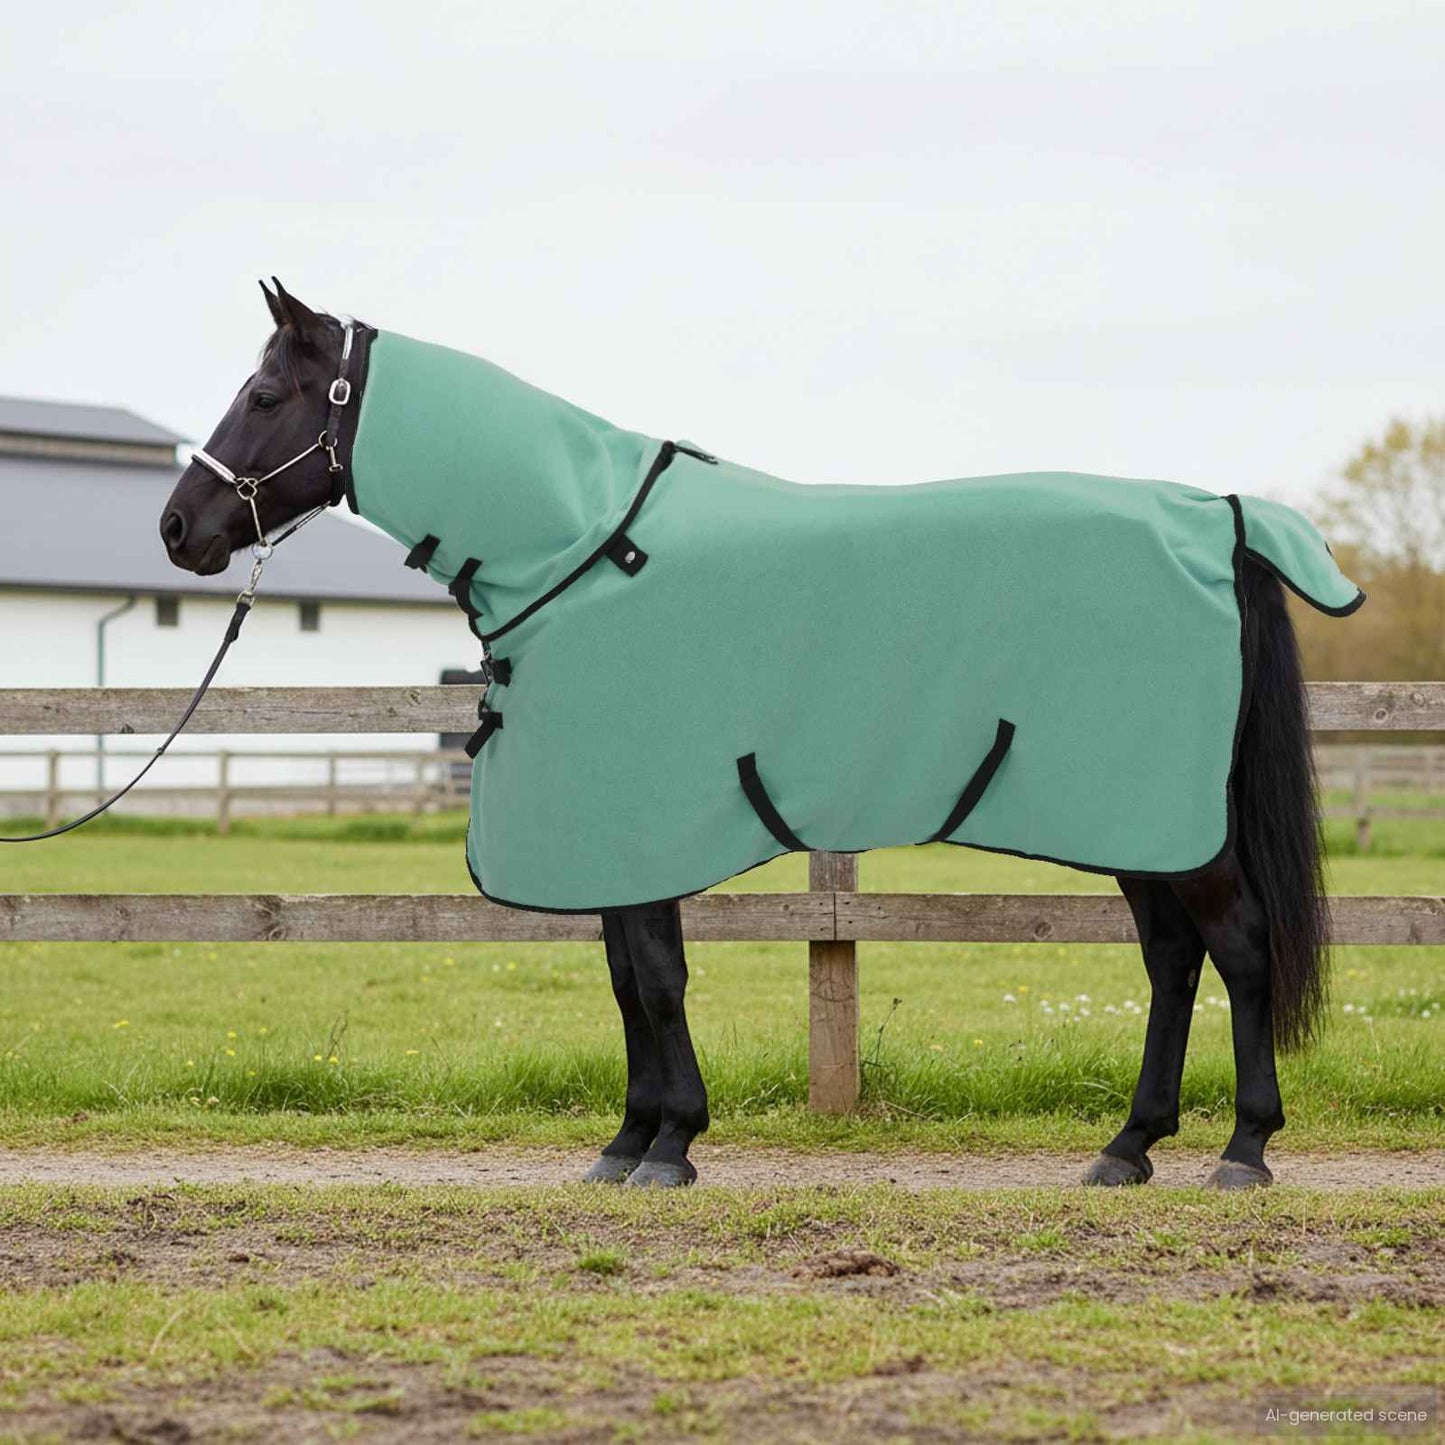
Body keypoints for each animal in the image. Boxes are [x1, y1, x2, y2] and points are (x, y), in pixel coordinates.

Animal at [160, 280, 1351, 1190]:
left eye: (264, 393)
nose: (179, 528)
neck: (584, 545)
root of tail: (1217, 517)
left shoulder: (641, 823)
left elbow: (655, 979)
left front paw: (669, 1144)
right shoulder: (613, 837)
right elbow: (627, 980)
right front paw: (627, 1140)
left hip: (1167, 824)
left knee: (1239, 949)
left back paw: (1242, 1149)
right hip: (1137, 825)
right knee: (1171, 960)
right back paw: (1127, 1145)